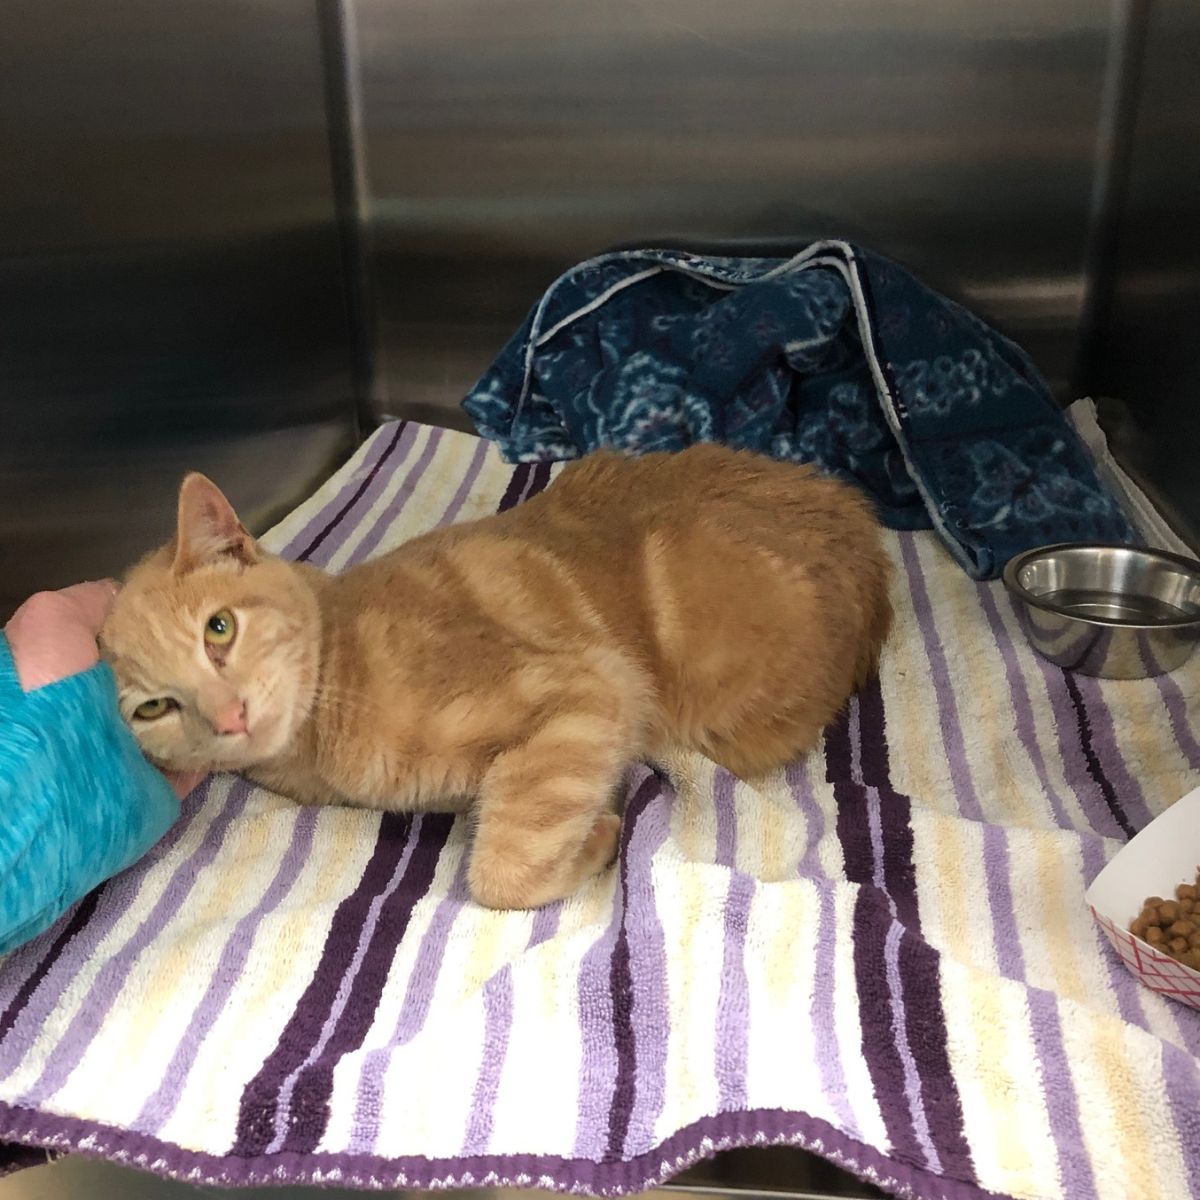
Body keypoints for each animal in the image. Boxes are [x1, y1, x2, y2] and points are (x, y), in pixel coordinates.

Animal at [100, 444, 892, 907]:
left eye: (219, 629)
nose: (227, 716)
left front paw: (598, 838)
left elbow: (501, 872)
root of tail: (857, 518)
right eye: (155, 708)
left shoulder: (586, 688)